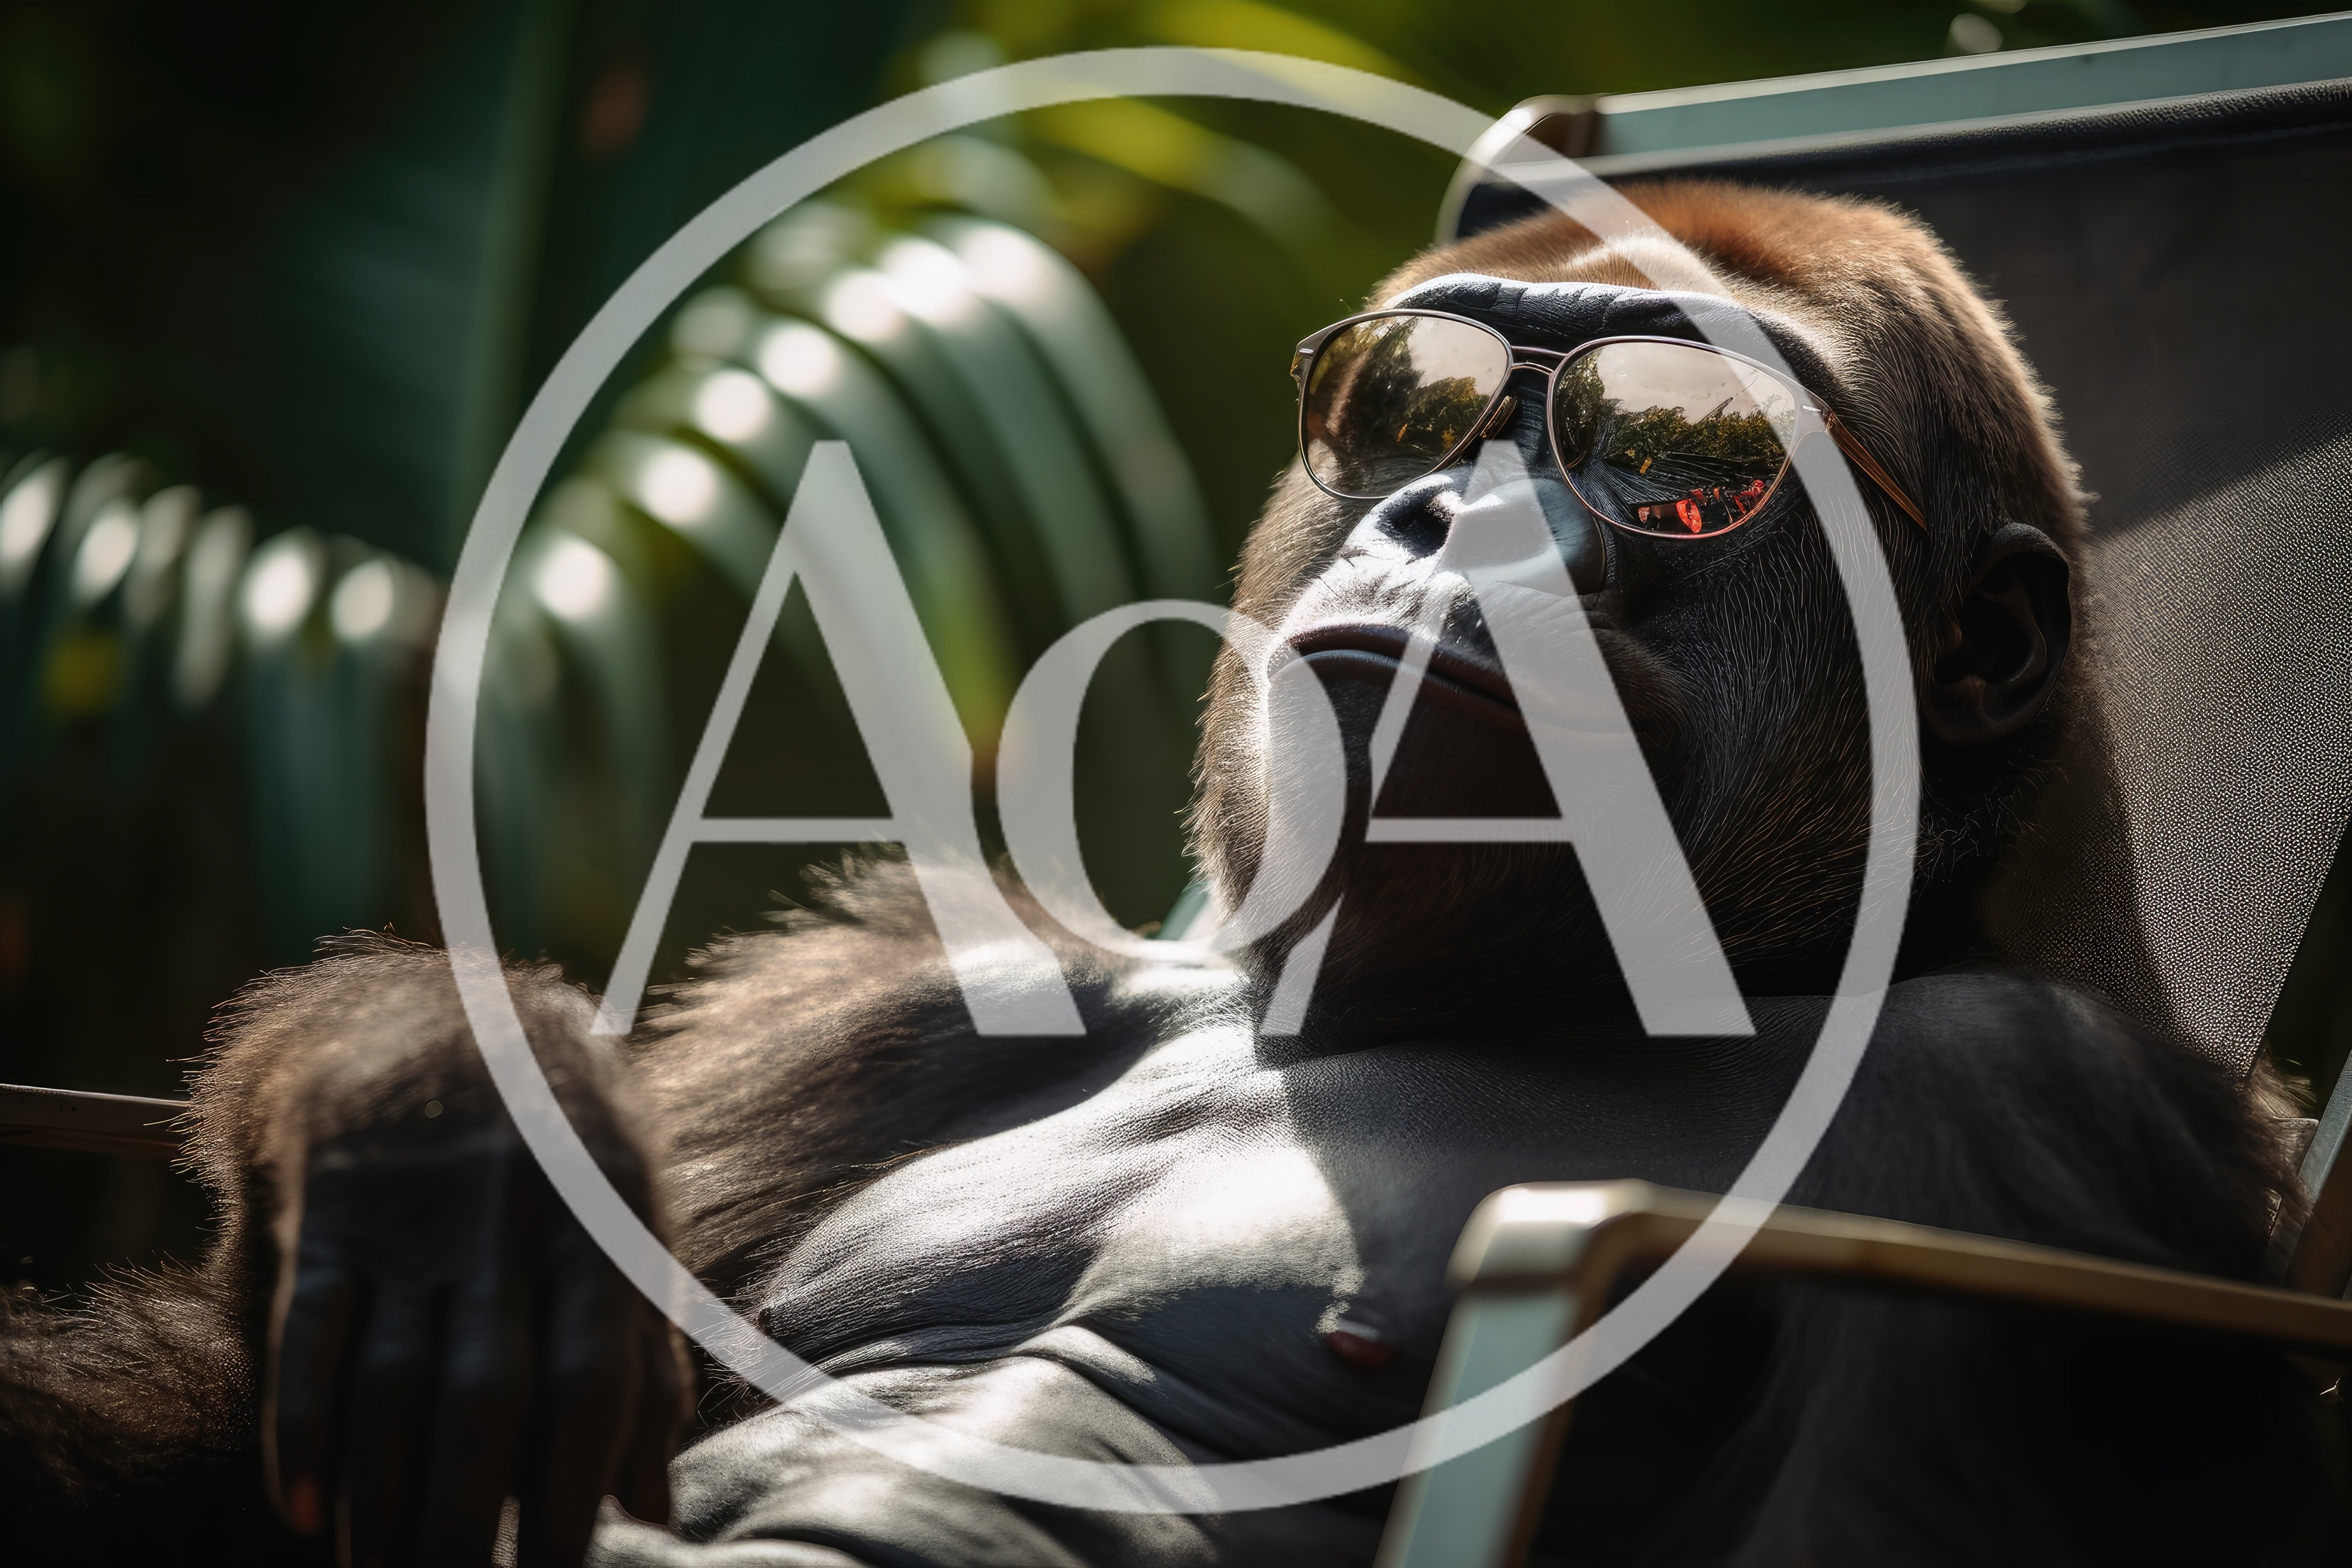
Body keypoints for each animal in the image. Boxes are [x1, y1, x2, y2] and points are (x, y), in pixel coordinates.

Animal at [4, 179, 2344, 1567]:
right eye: (1419, 404)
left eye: (1681, 455)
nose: (1443, 517)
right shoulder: (910, 1004)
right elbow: (220, 1389)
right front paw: (421, 1117)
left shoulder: (2027, 1128)